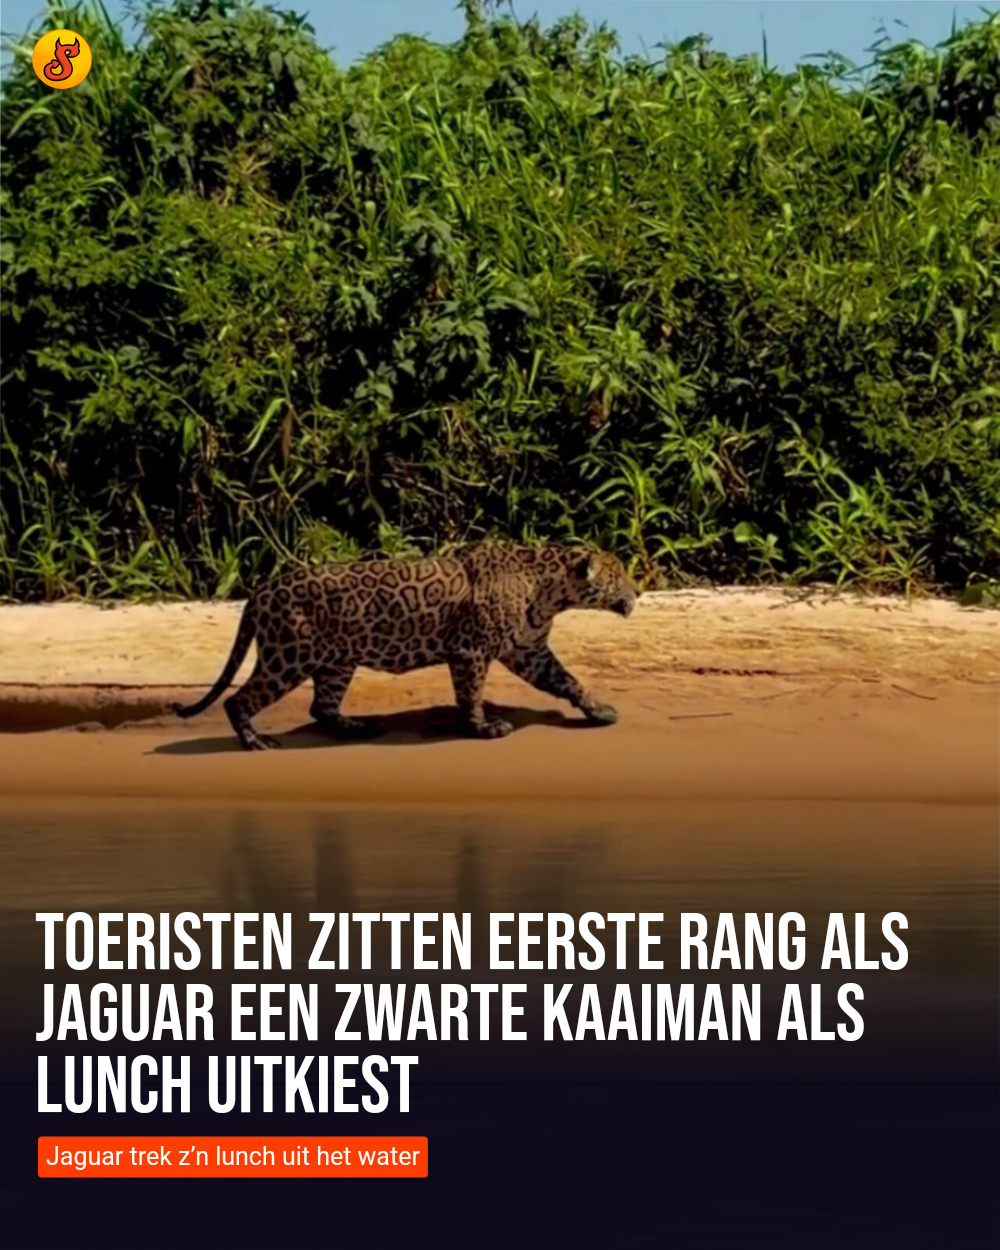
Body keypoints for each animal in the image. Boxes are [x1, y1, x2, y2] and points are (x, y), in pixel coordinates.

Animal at [172, 542, 638, 751]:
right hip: (288, 657)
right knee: (239, 700)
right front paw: (482, 727)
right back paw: (255, 742)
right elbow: (471, 693)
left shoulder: (529, 651)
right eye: (617, 576)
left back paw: (358, 727)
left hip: (336, 661)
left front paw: (599, 710)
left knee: (321, 706)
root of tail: (261, 591)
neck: (548, 590)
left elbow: (569, 680)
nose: (637, 590)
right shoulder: (470, 652)